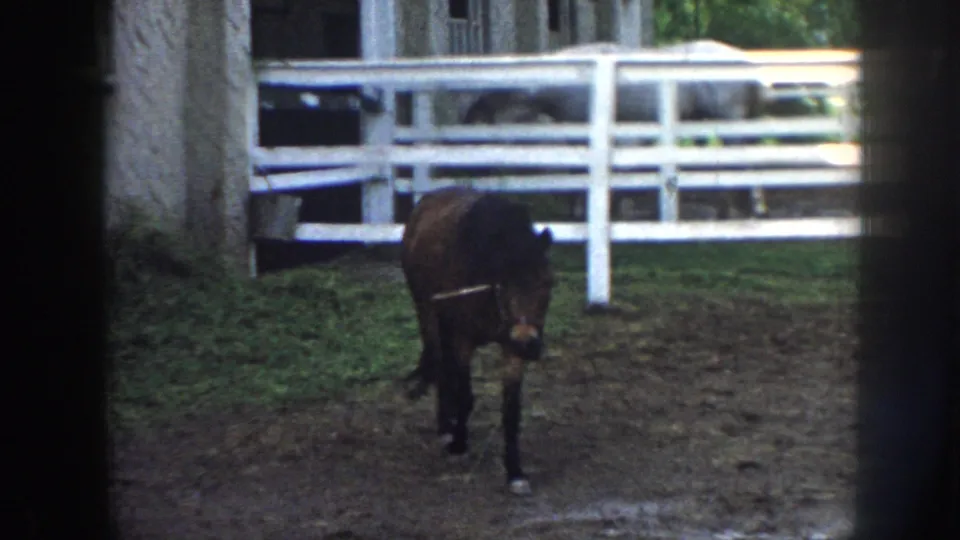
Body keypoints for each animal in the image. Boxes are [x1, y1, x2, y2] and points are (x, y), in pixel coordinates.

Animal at [400, 186, 555, 496]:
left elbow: (511, 411)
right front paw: (459, 444)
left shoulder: (511, 349)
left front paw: (515, 472)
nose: (528, 343)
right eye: (503, 284)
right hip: (426, 312)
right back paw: (445, 429)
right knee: (439, 362)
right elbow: (465, 396)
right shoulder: (462, 341)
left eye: (547, 283)